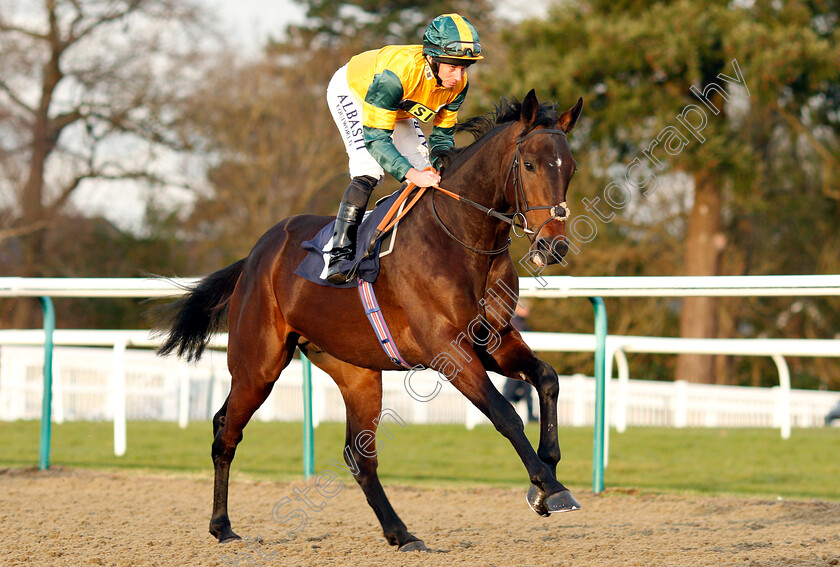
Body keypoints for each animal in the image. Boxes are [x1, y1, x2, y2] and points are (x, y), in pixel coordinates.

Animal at [154, 90, 580, 556]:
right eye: (530, 164)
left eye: (570, 167)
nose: (554, 246)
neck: (461, 239)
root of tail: (254, 256)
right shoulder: (447, 350)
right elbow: (506, 414)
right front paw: (549, 487)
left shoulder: (494, 340)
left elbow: (548, 378)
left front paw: (548, 475)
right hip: (257, 365)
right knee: (225, 430)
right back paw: (222, 525)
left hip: (355, 372)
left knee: (359, 456)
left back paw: (401, 533)